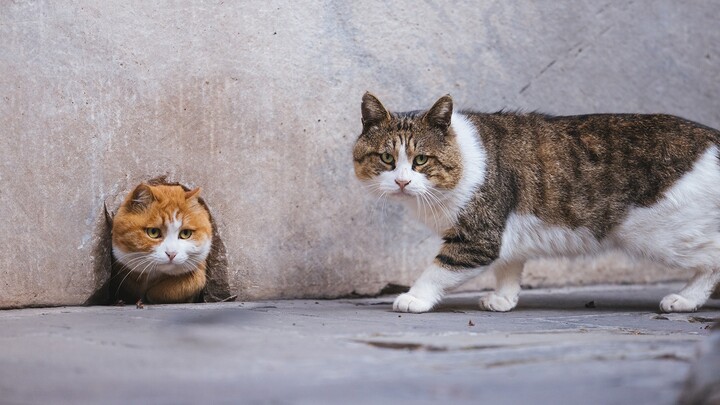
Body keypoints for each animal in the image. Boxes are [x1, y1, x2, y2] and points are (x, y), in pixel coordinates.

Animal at [352, 91, 720, 312]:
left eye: (421, 160)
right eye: (387, 158)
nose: (402, 181)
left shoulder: (477, 237)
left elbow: (438, 269)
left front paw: (414, 297)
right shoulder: (505, 233)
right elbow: (508, 265)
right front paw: (503, 298)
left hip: (667, 234)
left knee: (712, 261)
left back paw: (685, 300)